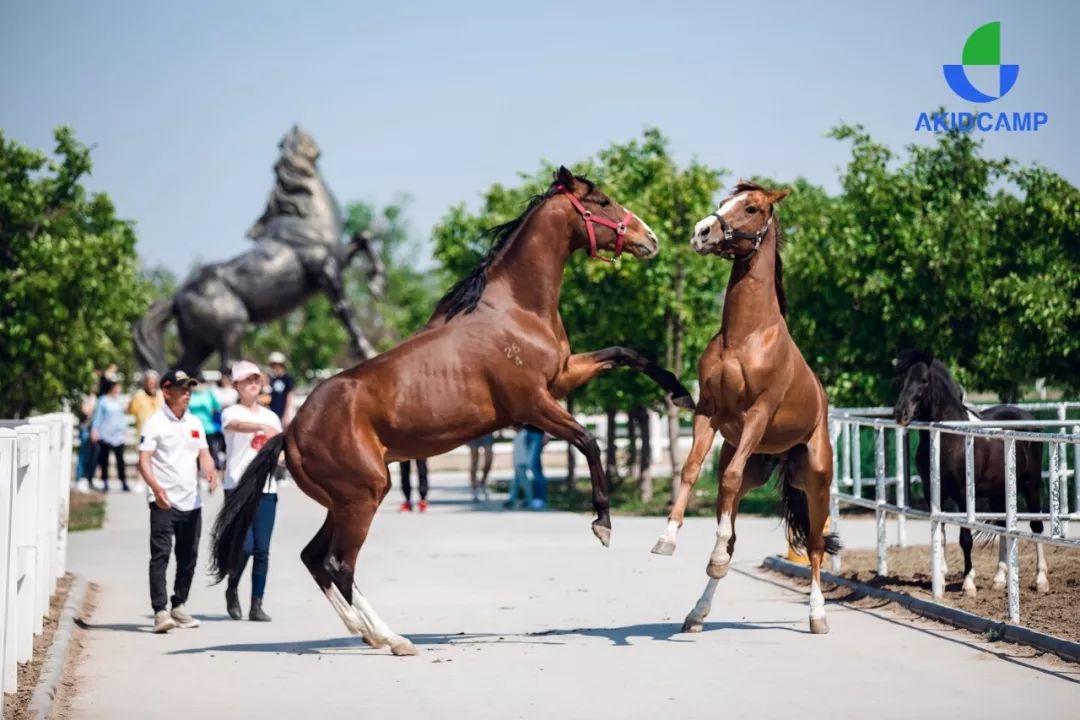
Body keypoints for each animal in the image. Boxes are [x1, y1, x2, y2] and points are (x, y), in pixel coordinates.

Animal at [132, 128, 384, 375]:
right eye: (297, 139)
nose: (310, 140)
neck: (308, 219)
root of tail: (176, 298)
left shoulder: (337, 260)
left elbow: (364, 237)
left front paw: (377, 284)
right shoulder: (324, 269)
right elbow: (343, 309)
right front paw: (365, 349)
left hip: (200, 341)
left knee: (185, 367)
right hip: (233, 324)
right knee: (227, 363)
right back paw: (264, 371)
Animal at [210, 166, 691, 656]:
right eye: (603, 201)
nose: (650, 238)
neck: (513, 308)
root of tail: (289, 432)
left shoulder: (563, 377)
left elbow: (626, 352)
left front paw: (681, 393)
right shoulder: (535, 403)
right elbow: (590, 440)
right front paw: (602, 523)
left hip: (344, 502)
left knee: (314, 558)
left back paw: (367, 632)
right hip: (364, 497)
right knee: (337, 564)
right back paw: (393, 638)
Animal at [643, 181, 838, 634]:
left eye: (751, 208)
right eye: (722, 203)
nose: (702, 232)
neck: (745, 337)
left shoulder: (758, 416)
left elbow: (728, 477)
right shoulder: (708, 413)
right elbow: (691, 470)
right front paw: (666, 540)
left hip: (816, 480)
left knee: (816, 546)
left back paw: (818, 616)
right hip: (757, 467)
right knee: (732, 530)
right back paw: (697, 612)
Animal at [894, 349, 1045, 595]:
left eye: (923, 381)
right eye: (902, 379)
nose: (900, 413)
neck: (950, 438)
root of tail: (1030, 420)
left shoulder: (964, 495)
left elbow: (965, 538)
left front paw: (968, 583)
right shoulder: (933, 494)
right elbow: (940, 534)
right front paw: (941, 579)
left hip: (1031, 485)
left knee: (1037, 526)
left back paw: (1041, 580)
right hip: (999, 492)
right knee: (1003, 527)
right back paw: (999, 579)